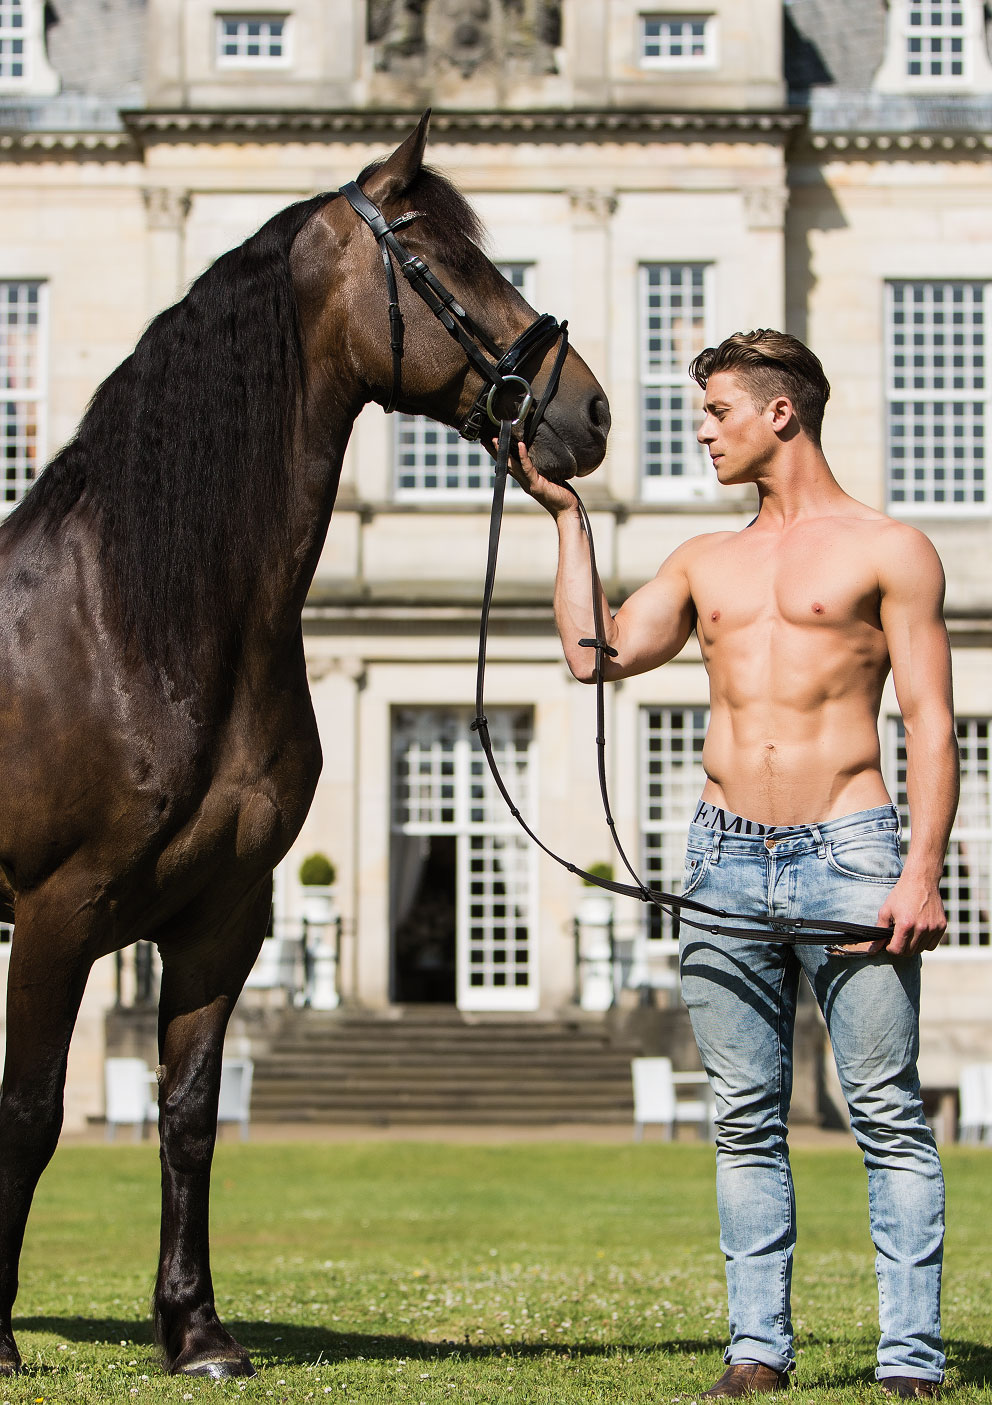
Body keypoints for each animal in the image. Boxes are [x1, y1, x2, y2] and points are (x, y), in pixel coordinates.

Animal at [0, 112, 609, 1378]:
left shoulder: (223, 914)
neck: (141, 614)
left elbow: (189, 1115)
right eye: (437, 257)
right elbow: (30, 1111)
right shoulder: (56, 910)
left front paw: (196, 1331)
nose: (588, 410)